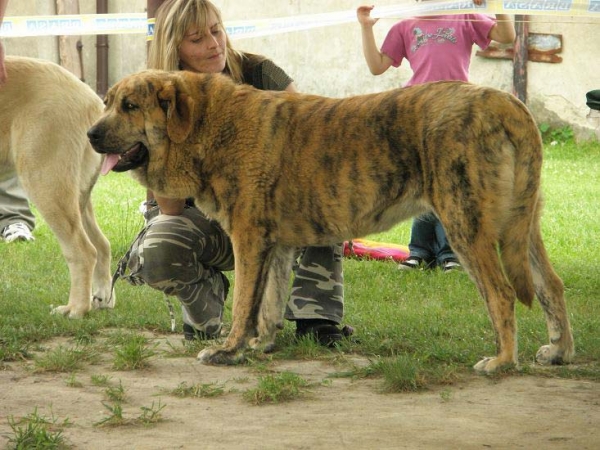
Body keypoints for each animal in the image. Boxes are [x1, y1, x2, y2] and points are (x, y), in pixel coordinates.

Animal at [1, 56, 115, 316]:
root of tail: (91, 99)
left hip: (45, 181)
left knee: (84, 251)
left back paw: (75, 309)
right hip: (77, 196)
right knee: (102, 245)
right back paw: (102, 298)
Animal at [88, 70, 572, 372]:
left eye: (129, 105)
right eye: (107, 102)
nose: (91, 133)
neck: (209, 126)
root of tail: (506, 102)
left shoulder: (249, 238)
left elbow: (244, 302)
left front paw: (229, 350)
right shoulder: (277, 245)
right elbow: (268, 305)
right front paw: (261, 346)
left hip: (466, 225)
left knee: (501, 293)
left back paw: (503, 361)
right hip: (521, 227)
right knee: (550, 285)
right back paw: (559, 352)